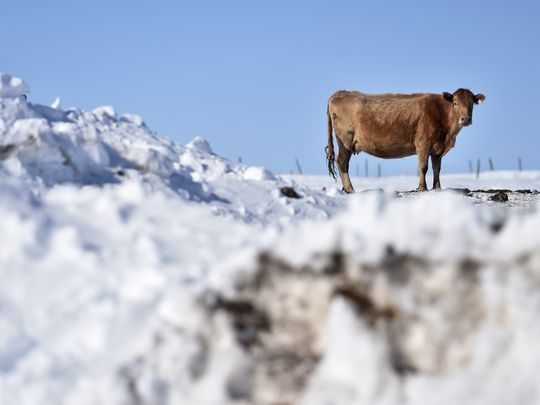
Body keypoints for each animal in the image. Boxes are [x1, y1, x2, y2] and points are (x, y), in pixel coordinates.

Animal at [324, 89, 486, 193]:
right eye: (455, 103)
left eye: (472, 104)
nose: (465, 119)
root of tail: (340, 93)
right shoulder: (423, 144)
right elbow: (423, 167)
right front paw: (422, 187)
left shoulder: (437, 150)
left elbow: (437, 169)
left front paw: (437, 187)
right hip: (345, 141)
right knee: (342, 162)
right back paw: (350, 189)